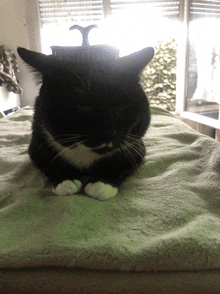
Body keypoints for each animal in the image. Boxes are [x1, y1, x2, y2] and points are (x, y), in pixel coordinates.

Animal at [17, 46, 154, 200]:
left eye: (123, 107)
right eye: (84, 106)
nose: (108, 132)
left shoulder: (135, 145)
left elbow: (125, 160)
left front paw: (101, 183)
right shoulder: (38, 138)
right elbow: (45, 159)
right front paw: (66, 181)